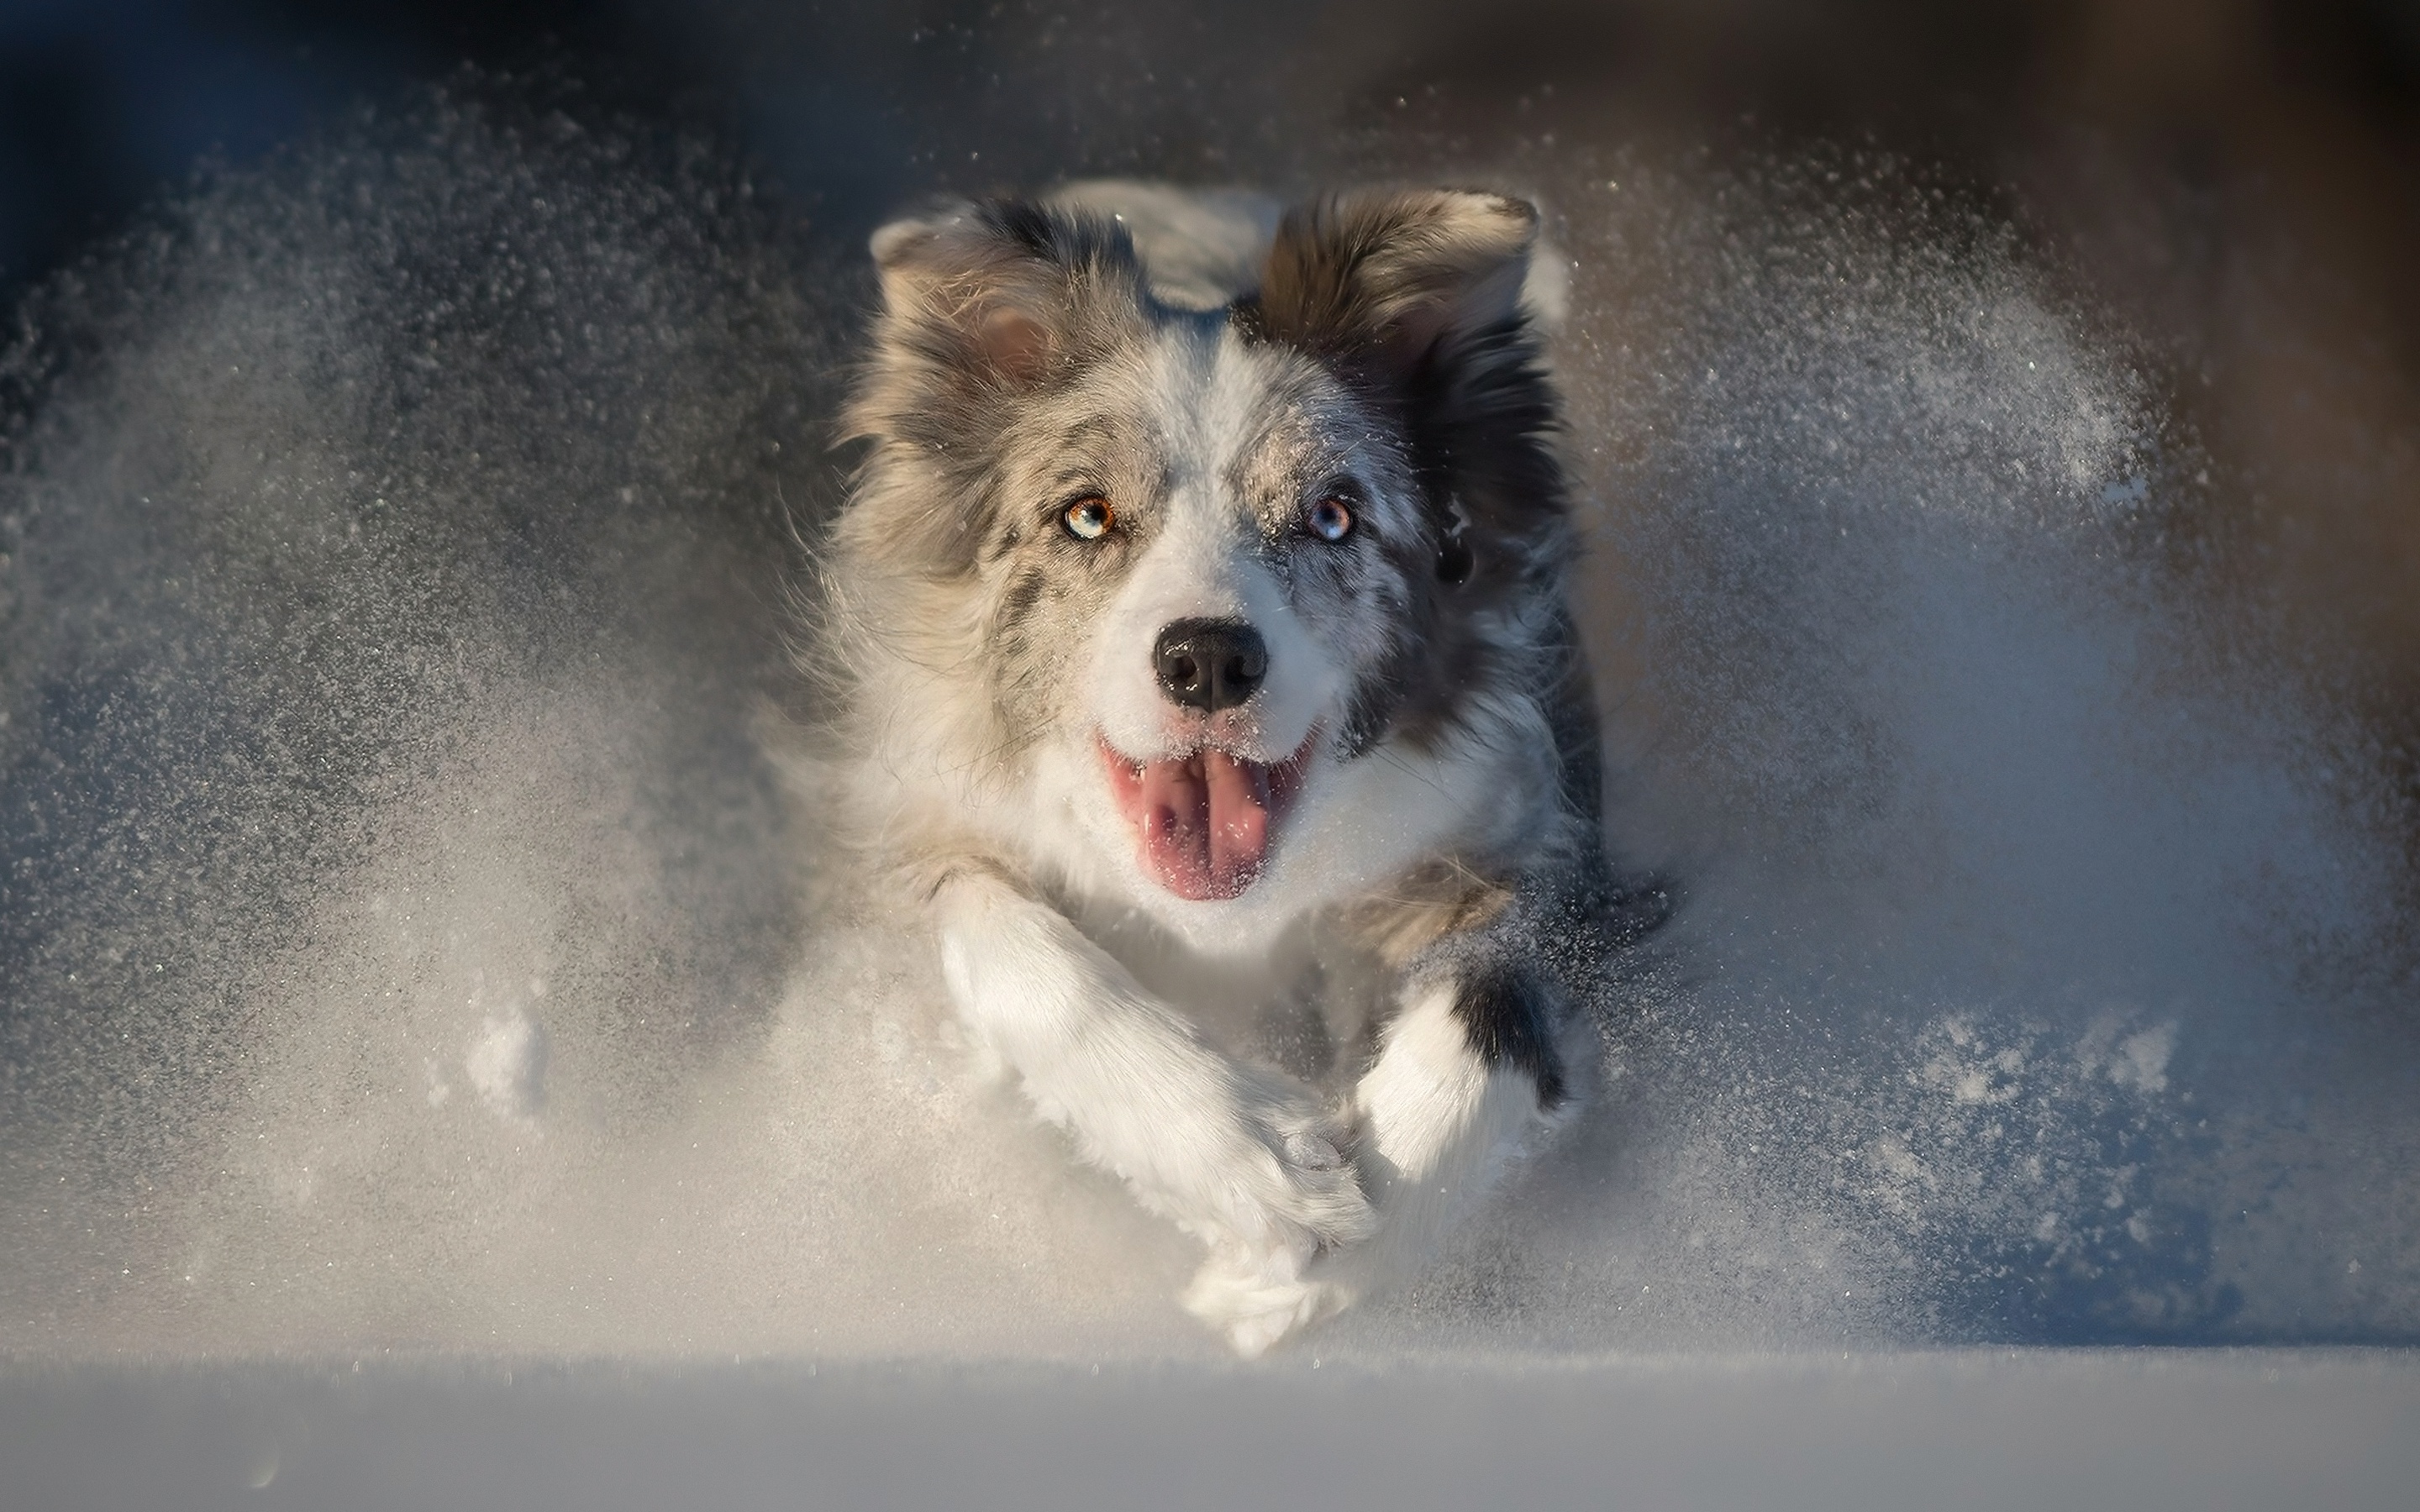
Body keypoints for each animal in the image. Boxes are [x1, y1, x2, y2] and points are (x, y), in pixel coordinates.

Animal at [813, 182, 1665, 1354]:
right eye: (1088, 514)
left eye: (1333, 515)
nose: (1207, 658)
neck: (1224, 923)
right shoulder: (904, 833)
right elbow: (998, 930)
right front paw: (1247, 1165)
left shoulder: (1550, 853)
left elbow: (1491, 1006)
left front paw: (1324, 1265)